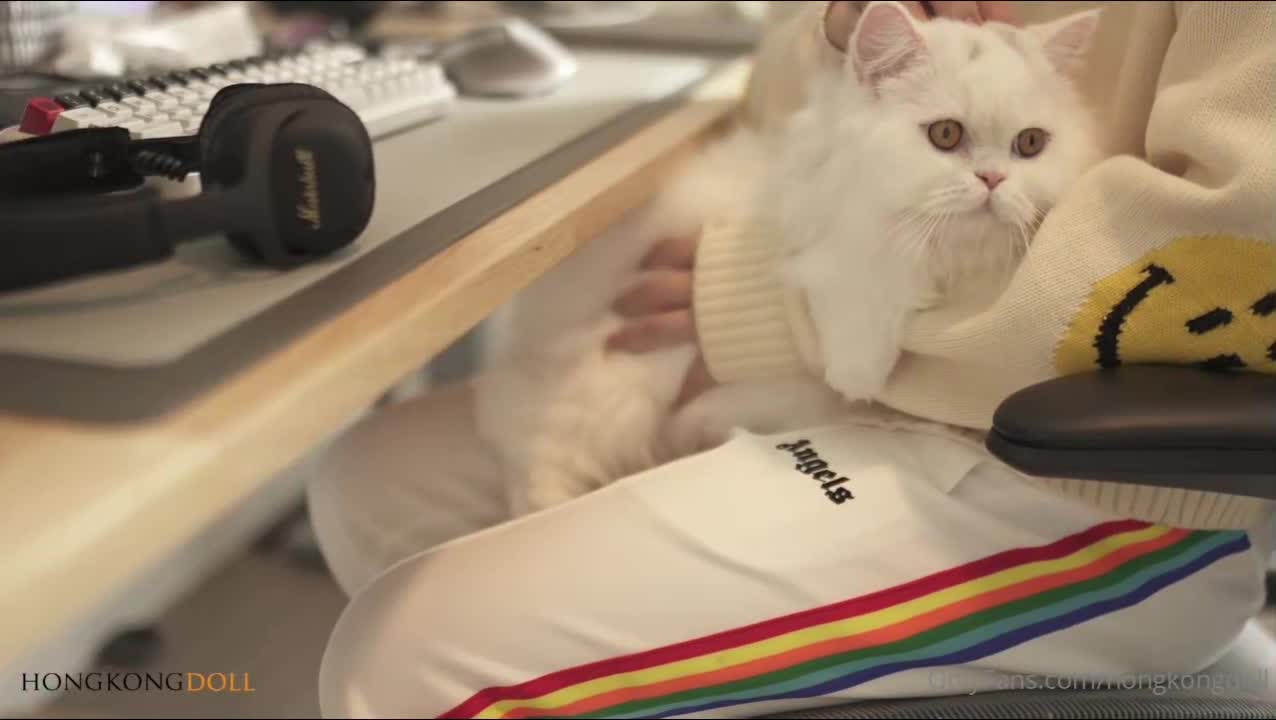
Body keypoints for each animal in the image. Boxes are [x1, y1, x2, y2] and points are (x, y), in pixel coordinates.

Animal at [475, 0, 1105, 517]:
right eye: (945, 135)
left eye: (1029, 144)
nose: (994, 180)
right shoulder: (819, 218)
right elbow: (864, 268)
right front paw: (857, 367)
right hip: (612, 389)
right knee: (538, 463)